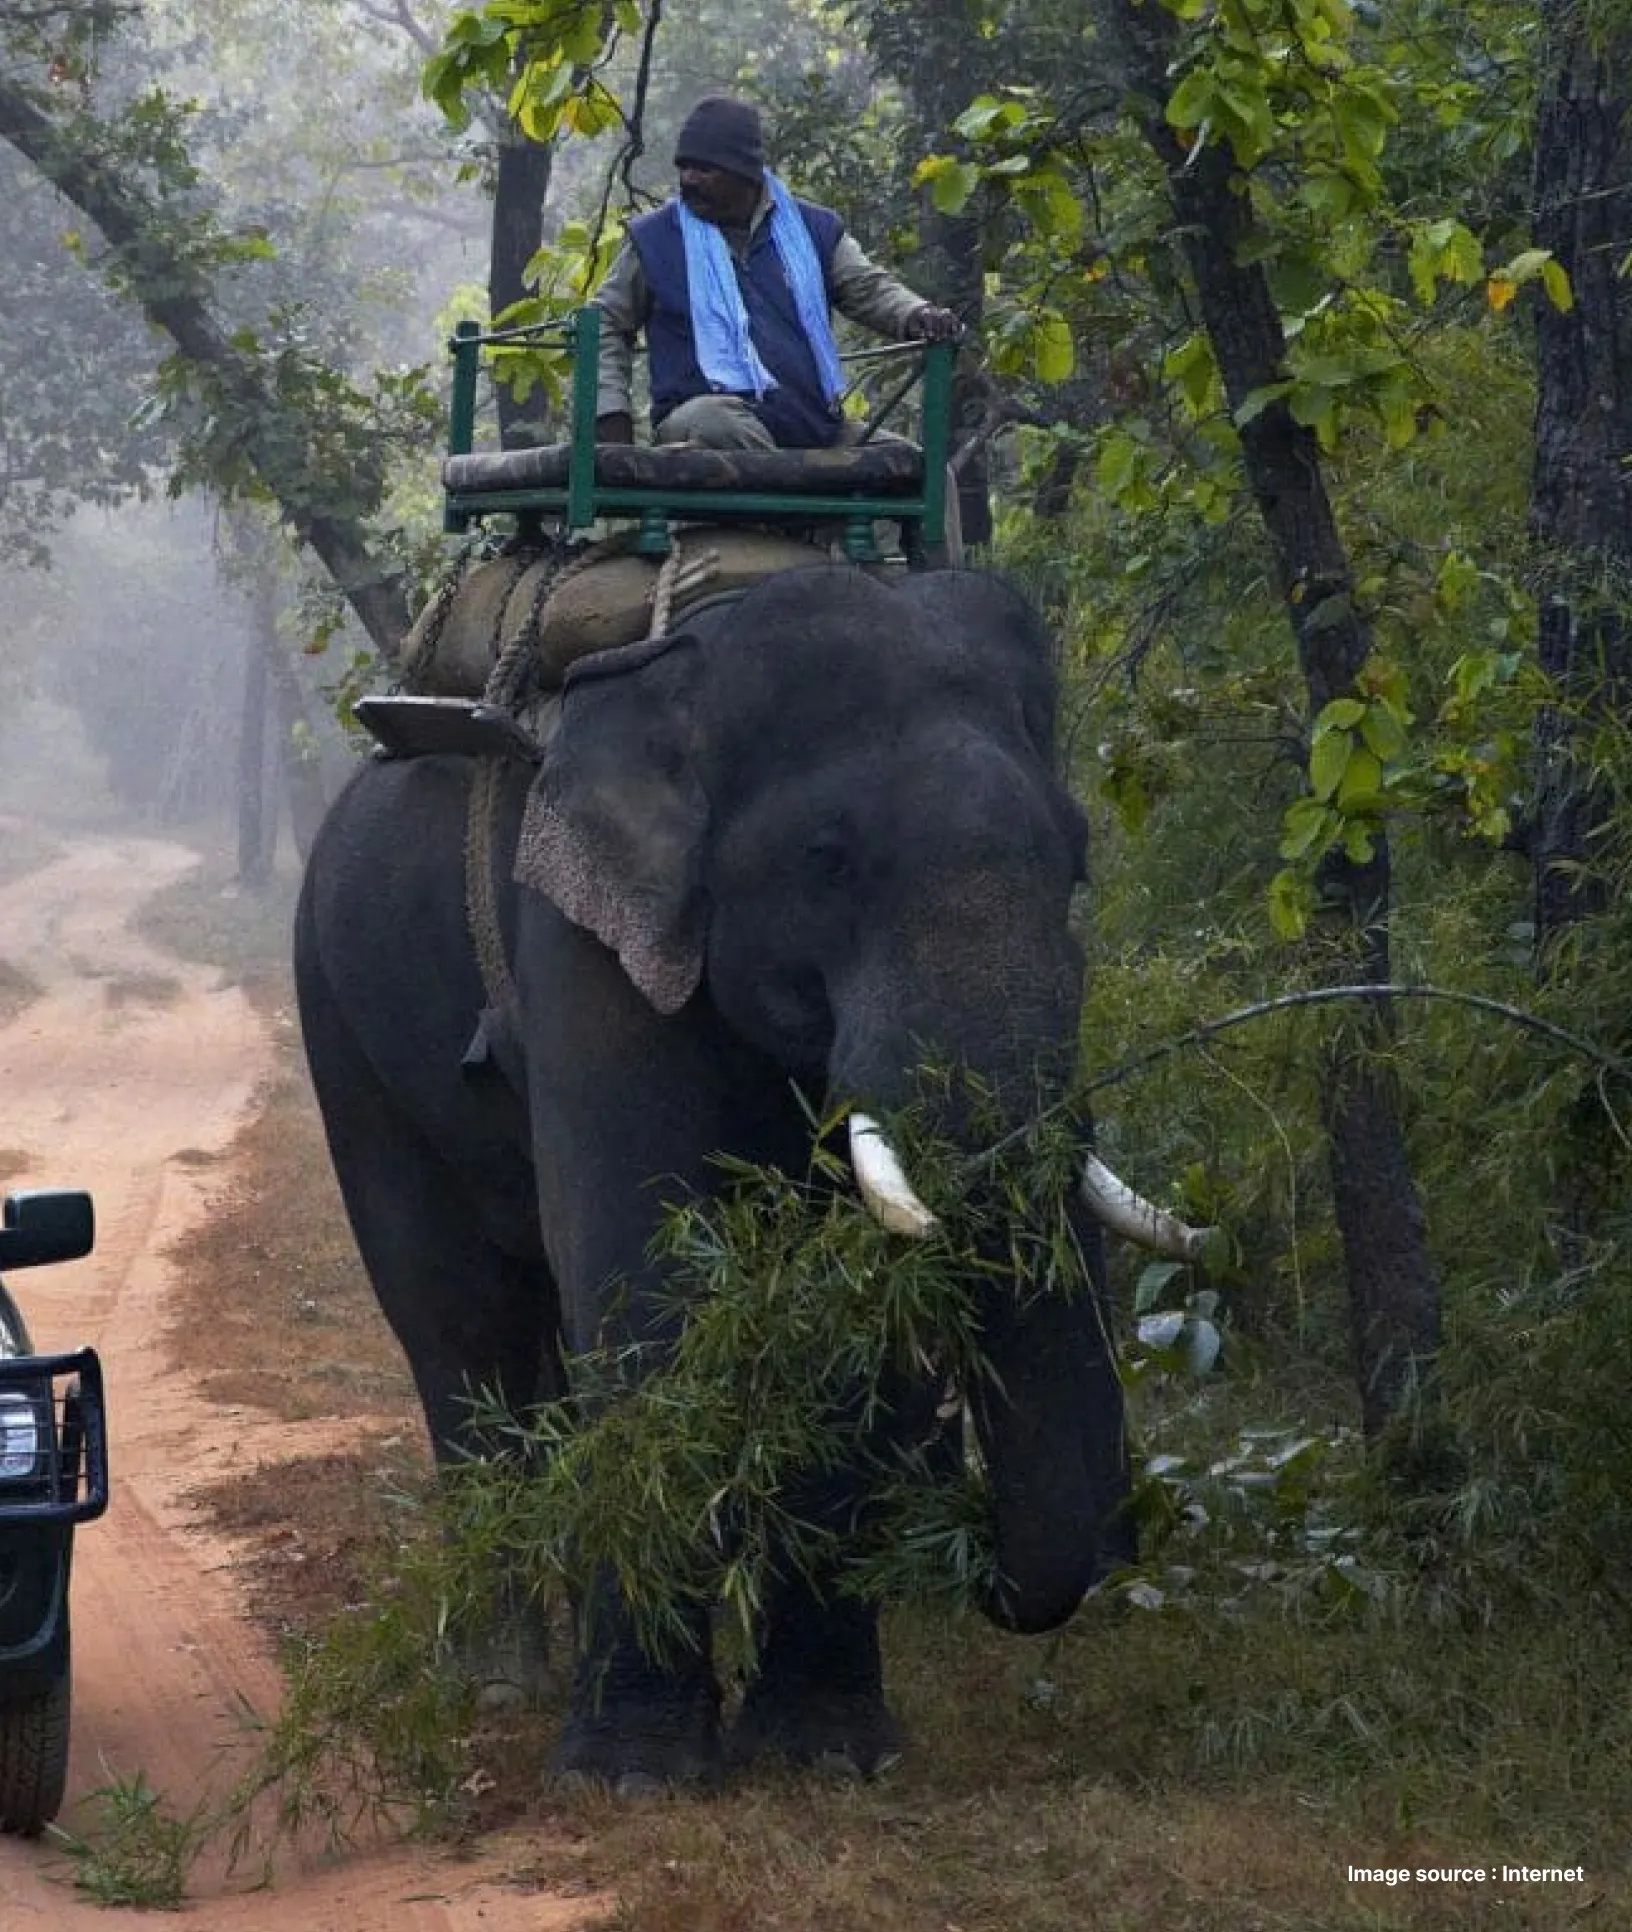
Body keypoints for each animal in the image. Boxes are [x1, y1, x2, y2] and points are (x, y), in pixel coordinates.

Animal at [293, 563, 1198, 1792]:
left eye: (1076, 865)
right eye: (829, 860)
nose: (972, 1533)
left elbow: (844, 1316)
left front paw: (830, 1756)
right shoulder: (584, 939)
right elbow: (644, 1279)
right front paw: (629, 1777)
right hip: (341, 1023)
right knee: (459, 1324)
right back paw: (500, 1684)